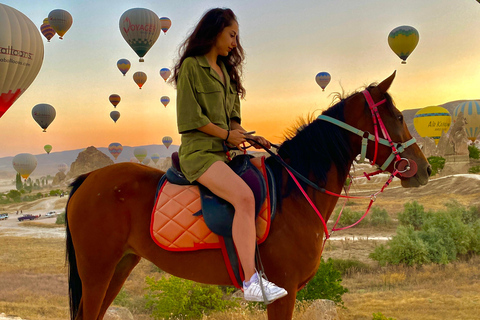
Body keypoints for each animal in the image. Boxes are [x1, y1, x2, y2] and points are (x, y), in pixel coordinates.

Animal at [64, 71, 432, 318]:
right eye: (399, 117)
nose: (425, 169)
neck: (294, 194)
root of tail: (88, 179)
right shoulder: (284, 293)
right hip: (97, 271)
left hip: (119, 266)